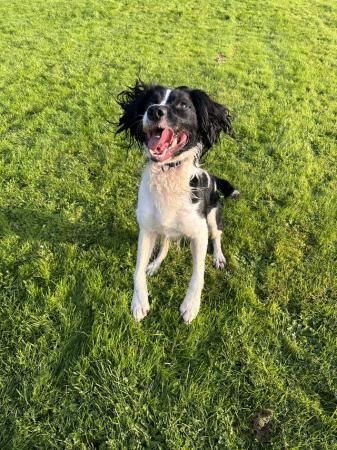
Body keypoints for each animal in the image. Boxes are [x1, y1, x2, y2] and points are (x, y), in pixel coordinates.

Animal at [117, 79, 238, 322]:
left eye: (182, 105)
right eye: (151, 101)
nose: (155, 111)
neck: (168, 174)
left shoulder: (199, 234)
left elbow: (198, 274)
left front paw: (191, 305)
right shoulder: (146, 230)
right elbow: (137, 269)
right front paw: (139, 302)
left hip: (213, 216)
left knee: (218, 236)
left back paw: (219, 257)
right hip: (163, 230)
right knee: (165, 245)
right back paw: (154, 264)